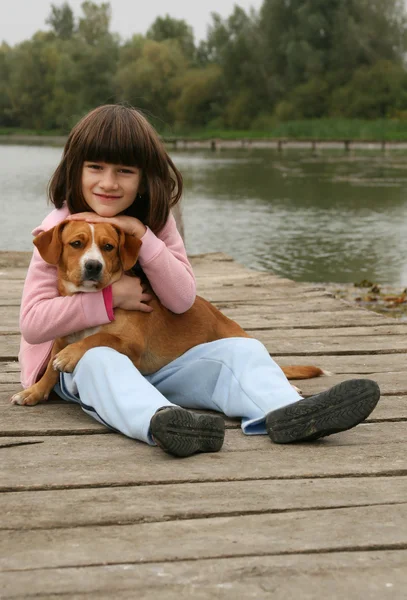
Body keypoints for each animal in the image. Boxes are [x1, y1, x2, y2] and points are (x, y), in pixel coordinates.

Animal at [11, 220, 328, 408]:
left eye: (108, 246)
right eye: (76, 244)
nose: (93, 266)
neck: (90, 298)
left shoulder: (132, 345)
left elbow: (98, 338)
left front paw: (71, 356)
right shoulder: (61, 337)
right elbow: (51, 367)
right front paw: (34, 391)